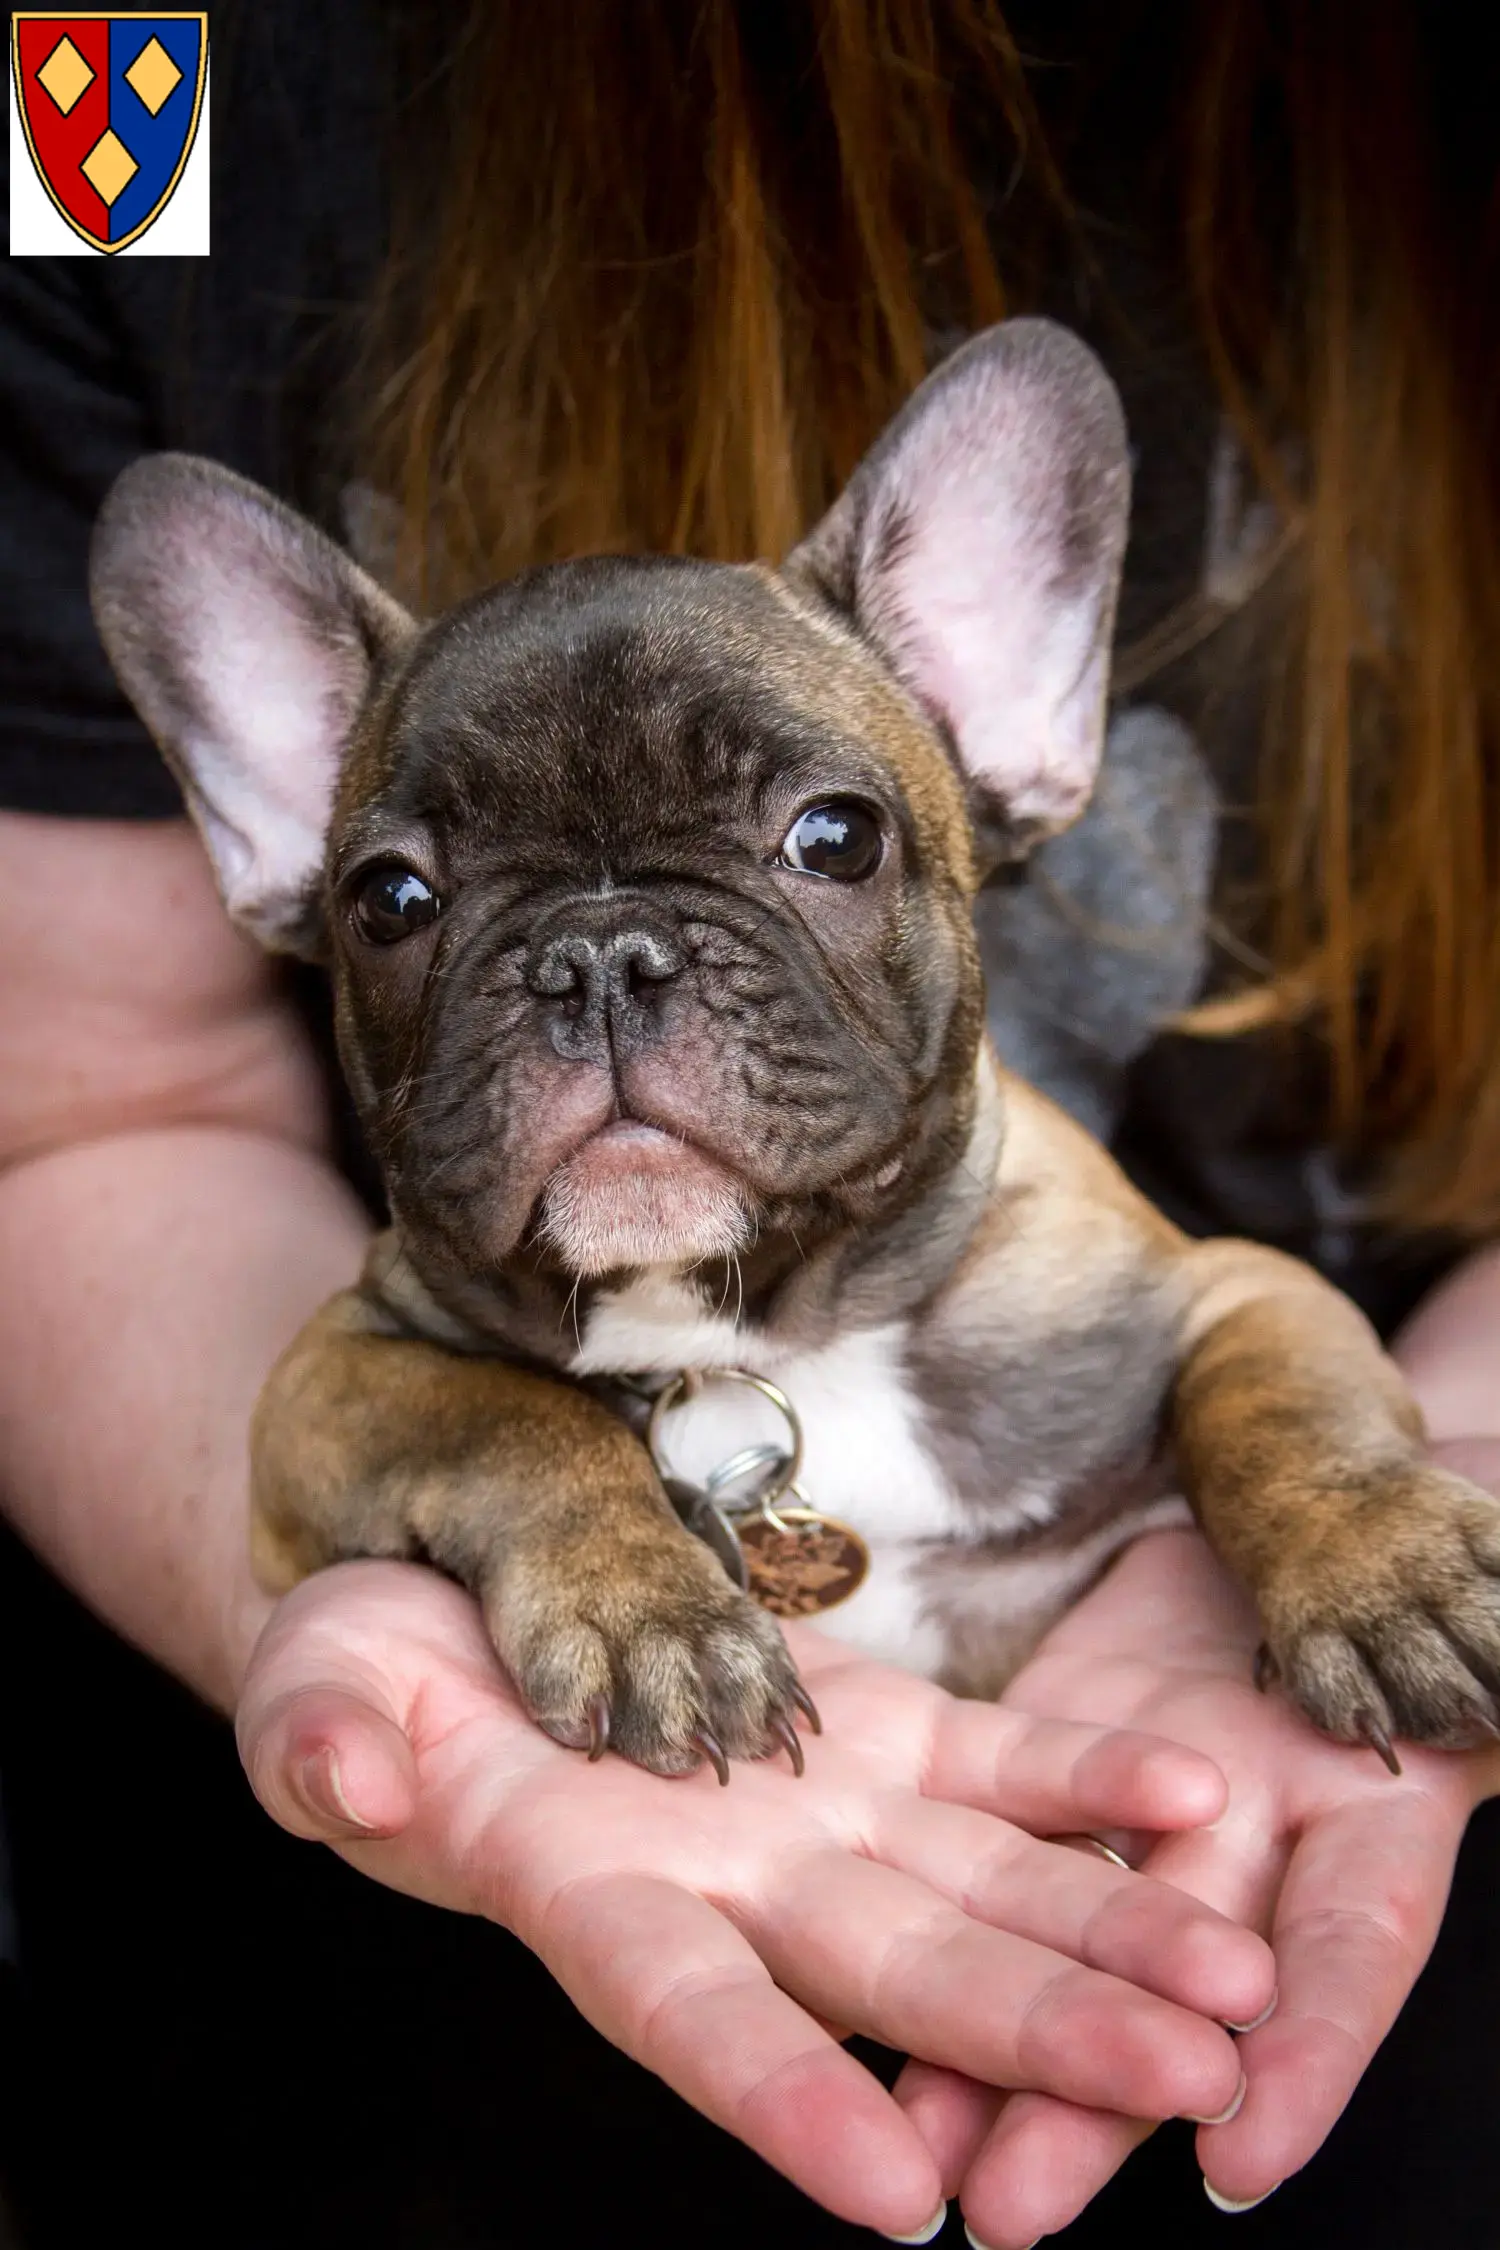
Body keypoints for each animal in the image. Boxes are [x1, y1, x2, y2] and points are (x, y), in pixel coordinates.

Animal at [91, 326, 1500, 1782]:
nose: (600, 949)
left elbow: (1281, 1405)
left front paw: (1384, 1568)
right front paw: (647, 1609)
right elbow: (508, 1417)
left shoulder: (1231, 1288)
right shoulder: (329, 1378)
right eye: (389, 901)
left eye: (836, 837)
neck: (755, 1327)